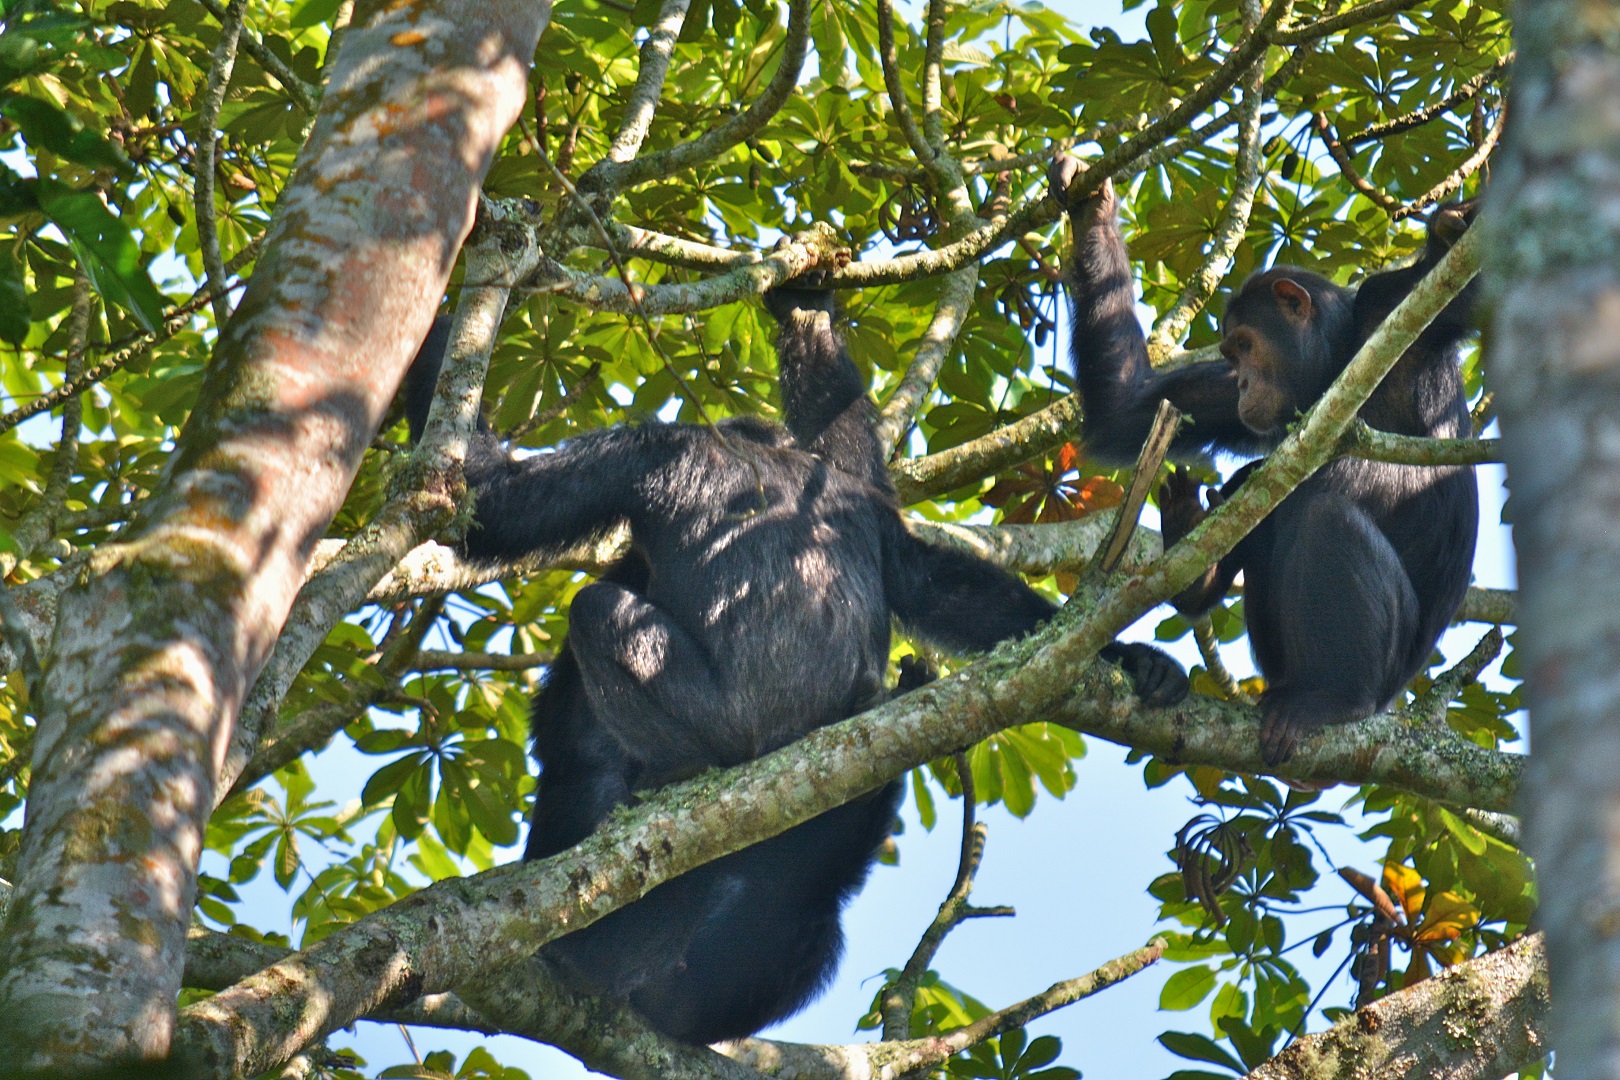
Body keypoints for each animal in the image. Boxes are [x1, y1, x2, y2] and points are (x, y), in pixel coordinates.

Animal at [405, 281, 1192, 1049]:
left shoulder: (645, 447)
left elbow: (497, 507)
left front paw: (436, 328)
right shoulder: (860, 503)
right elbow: (936, 579)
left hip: (721, 725)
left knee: (598, 612)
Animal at [1049, 152, 1483, 764]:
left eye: (1247, 345)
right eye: (1230, 355)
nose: (1244, 381)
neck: (1339, 358)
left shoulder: (1398, 306)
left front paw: (1450, 230)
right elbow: (1129, 408)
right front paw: (1092, 210)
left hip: (1384, 682)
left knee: (1323, 515)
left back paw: (1331, 699)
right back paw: (1195, 557)